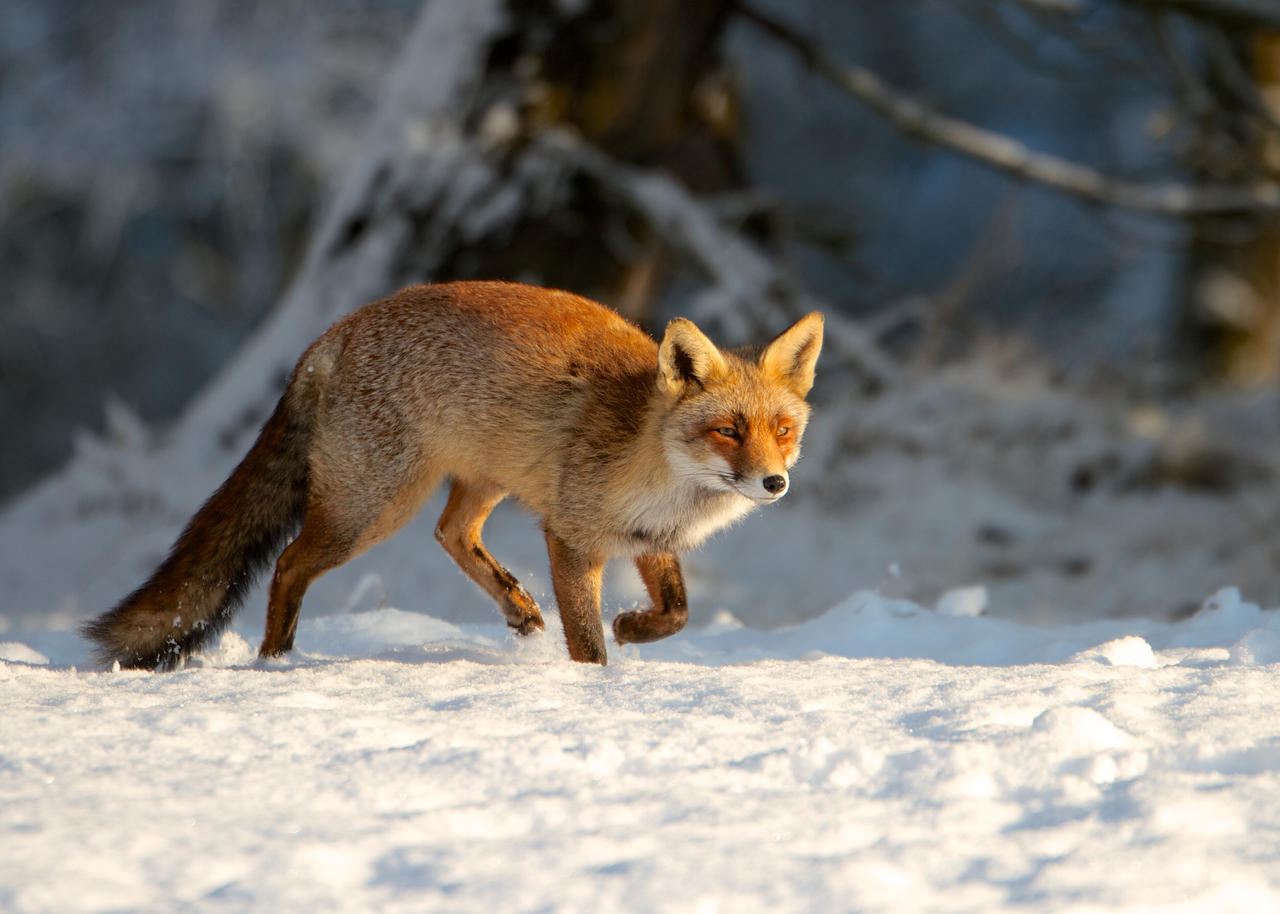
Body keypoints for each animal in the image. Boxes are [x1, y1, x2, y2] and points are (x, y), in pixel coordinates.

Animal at [82, 281, 819, 665]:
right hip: (372, 509)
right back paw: (277, 658)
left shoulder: (648, 541)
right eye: (728, 431)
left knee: (451, 533)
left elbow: (679, 613)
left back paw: (519, 609)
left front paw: (635, 629)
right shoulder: (571, 538)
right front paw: (596, 685)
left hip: (482, 478)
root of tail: (335, 332)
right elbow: (588, 638)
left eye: (782, 431)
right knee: (290, 564)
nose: (774, 483)